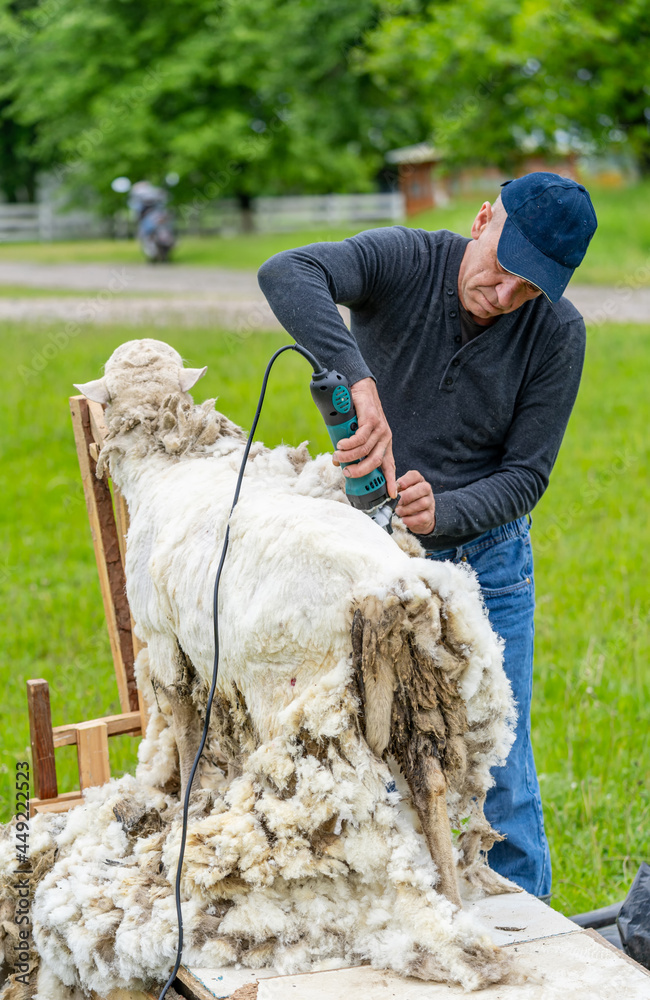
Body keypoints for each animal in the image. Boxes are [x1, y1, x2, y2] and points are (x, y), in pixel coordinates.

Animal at [0, 340, 516, 996]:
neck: (169, 460)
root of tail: (391, 588)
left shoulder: (167, 645)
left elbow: (185, 731)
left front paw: (186, 806)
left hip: (295, 694)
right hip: (418, 700)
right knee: (429, 787)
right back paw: (450, 897)